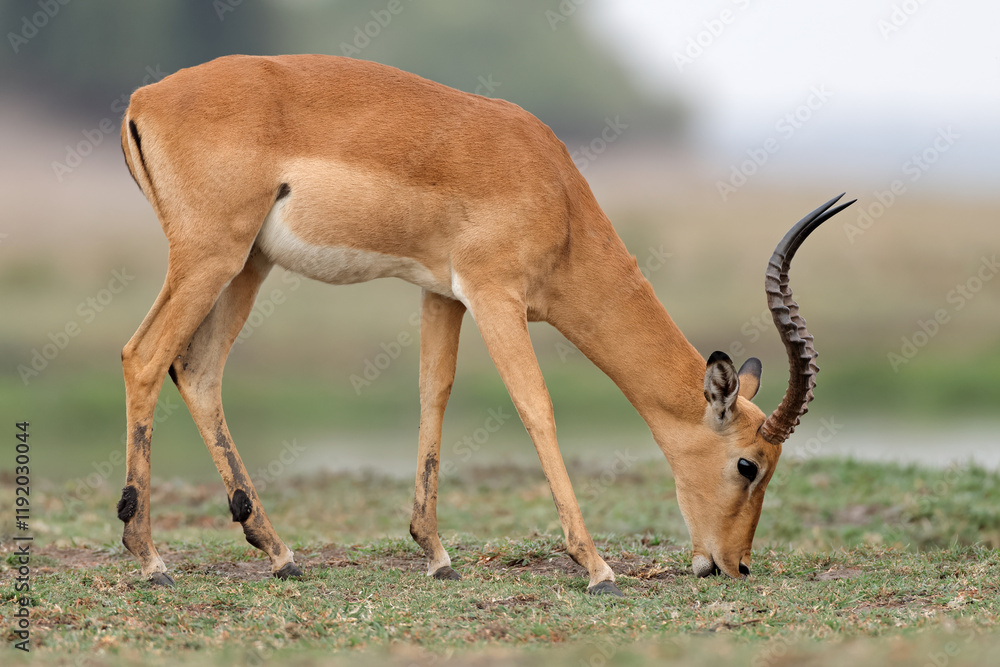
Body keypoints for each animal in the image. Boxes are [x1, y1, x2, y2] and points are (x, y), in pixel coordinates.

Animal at [118, 54, 853, 595]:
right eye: (748, 464)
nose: (734, 564)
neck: (556, 194)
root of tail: (145, 98)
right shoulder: (495, 295)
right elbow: (536, 406)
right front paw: (597, 567)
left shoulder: (441, 293)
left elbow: (433, 393)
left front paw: (436, 553)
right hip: (212, 255)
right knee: (144, 356)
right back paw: (151, 560)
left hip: (248, 263)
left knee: (199, 370)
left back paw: (279, 552)